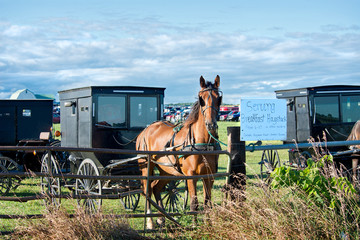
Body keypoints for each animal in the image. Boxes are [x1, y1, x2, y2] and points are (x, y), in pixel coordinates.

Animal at [136, 75, 222, 229]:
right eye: (201, 98)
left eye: (219, 98)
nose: (211, 125)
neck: (202, 143)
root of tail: (145, 130)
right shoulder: (191, 175)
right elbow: (194, 203)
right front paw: (194, 225)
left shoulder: (210, 175)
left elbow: (208, 203)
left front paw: (208, 225)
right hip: (146, 167)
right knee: (147, 190)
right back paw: (150, 221)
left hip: (168, 170)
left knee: (156, 188)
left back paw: (161, 218)